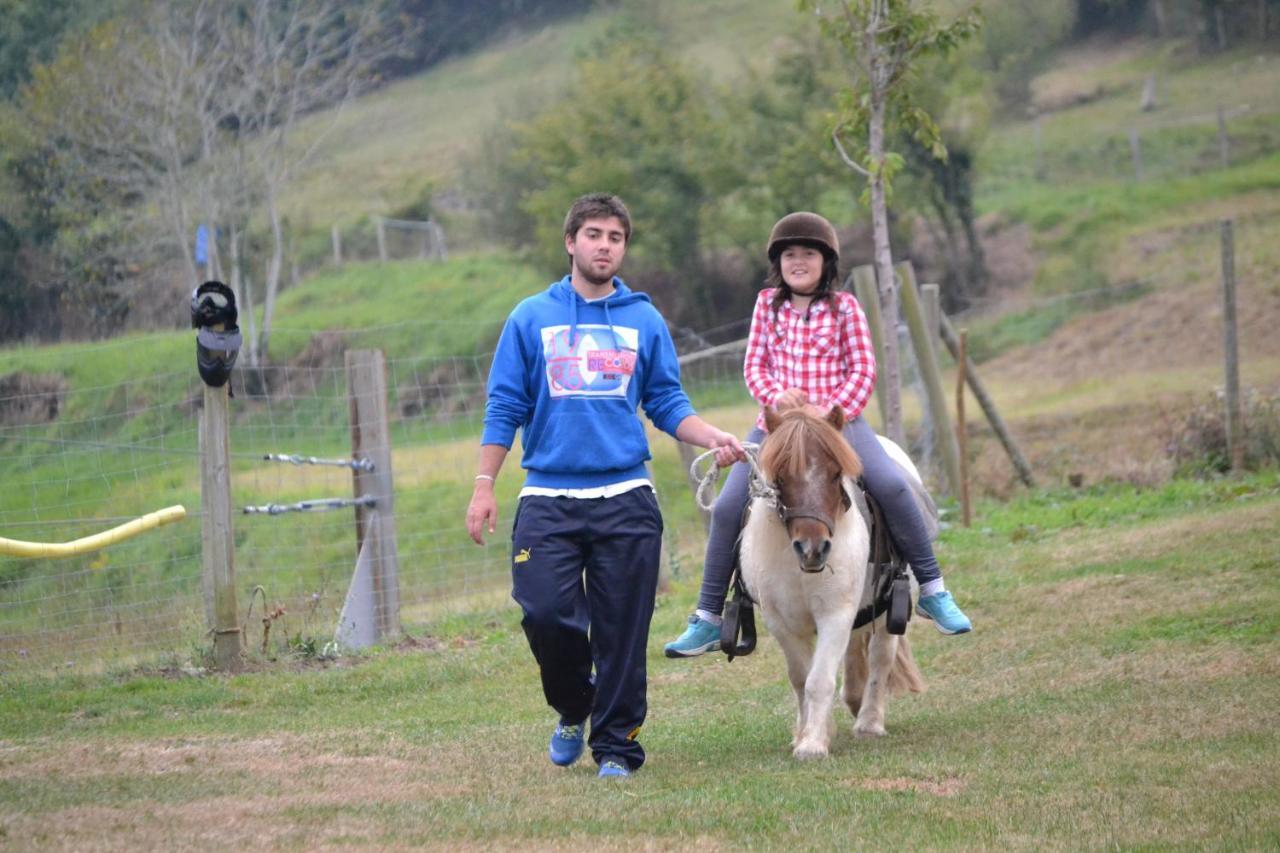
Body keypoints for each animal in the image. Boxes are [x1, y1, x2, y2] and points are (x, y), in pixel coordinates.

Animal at [737, 404, 926, 758]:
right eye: (779, 478)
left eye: (837, 474)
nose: (813, 548)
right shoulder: (781, 622)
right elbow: (801, 678)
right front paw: (807, 734)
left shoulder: (835, 613)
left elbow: (820, 678)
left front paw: (813, 744)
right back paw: (854, 702)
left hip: (888, 609)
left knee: (880, 657)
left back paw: (869, 722)